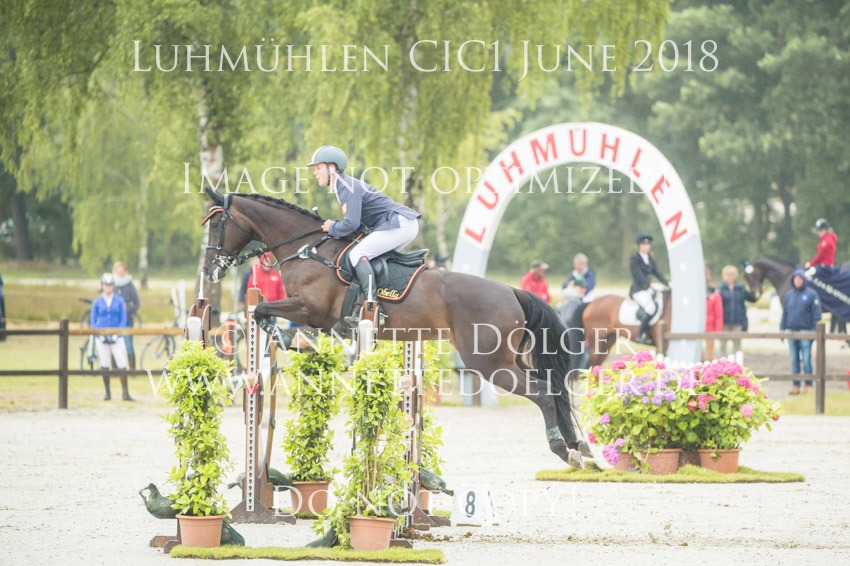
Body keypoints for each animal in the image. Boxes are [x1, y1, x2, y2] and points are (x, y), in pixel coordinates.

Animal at [200, 189, 586, 466]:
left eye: (217, 225)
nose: (209, 270)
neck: (306, 248)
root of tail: (511, 291)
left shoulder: (310, 307)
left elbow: (261, 311)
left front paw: (286, 336)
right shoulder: (311, 313)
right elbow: (266, 313)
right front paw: (298, 339)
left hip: (488, 363)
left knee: (542, 393)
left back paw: (564, 450)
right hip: (507, 359)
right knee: (551, 387)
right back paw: (577, 443)